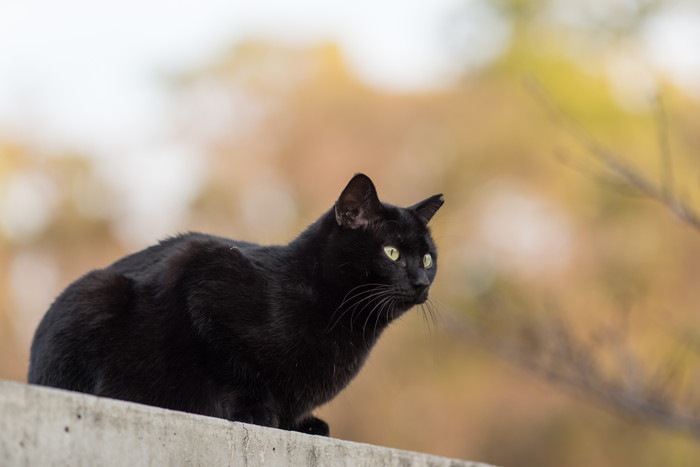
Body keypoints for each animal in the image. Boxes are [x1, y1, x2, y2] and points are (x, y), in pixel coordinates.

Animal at [28, 174, 442, 436]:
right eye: (391, 253)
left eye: (427, 259)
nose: (421, 283)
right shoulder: (202, 275)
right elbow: (235, 368)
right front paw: (258, 412)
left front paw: (302, 422)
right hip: (96, 293)